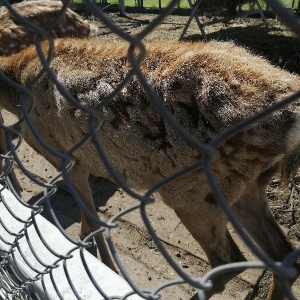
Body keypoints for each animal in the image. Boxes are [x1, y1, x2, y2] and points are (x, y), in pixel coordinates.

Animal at [0, 2, 300, 300]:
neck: (17, 88)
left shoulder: (67, 157)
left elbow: (93, 218)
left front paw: (103, 264)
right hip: (246, 185)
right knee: (283, 255)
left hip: (193, 190)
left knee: (228, 260)